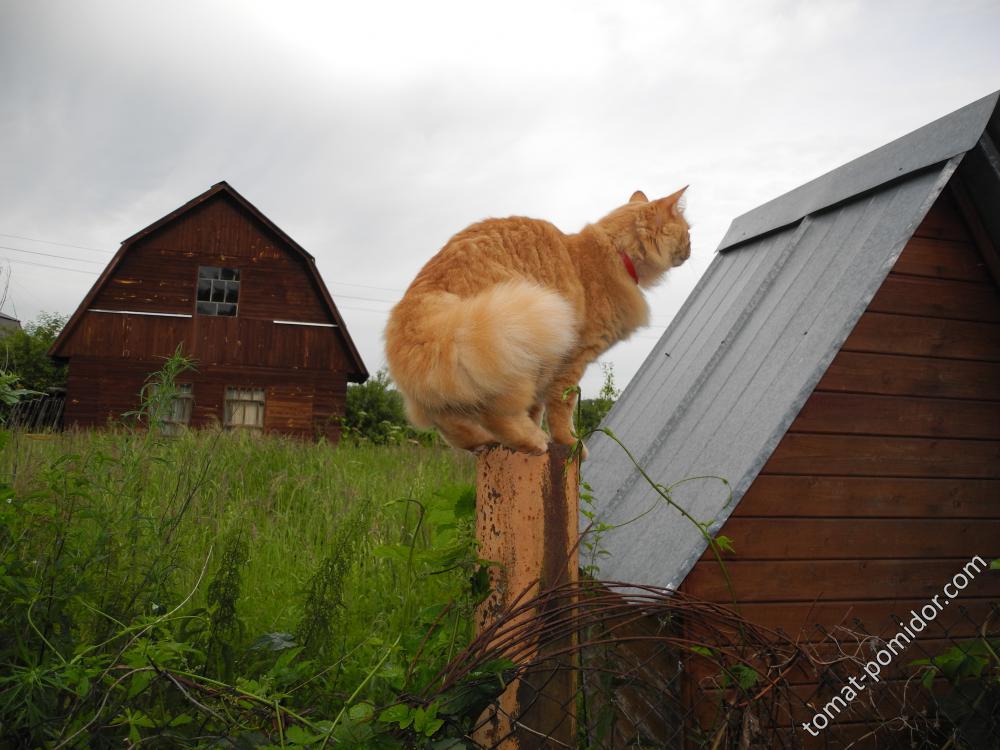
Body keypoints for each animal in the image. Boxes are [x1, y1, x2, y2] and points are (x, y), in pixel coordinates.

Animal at [382, 191, 688, 456]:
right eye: (688, 233)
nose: (690, 249)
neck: (613, 252)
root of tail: (421, 305)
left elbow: (537, 408)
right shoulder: (572, 359)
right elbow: (561, 409)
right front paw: (570, 443)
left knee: (450, 422)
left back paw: (484, 442)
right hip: (518, 349)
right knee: (495, 414)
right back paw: (533, 441)